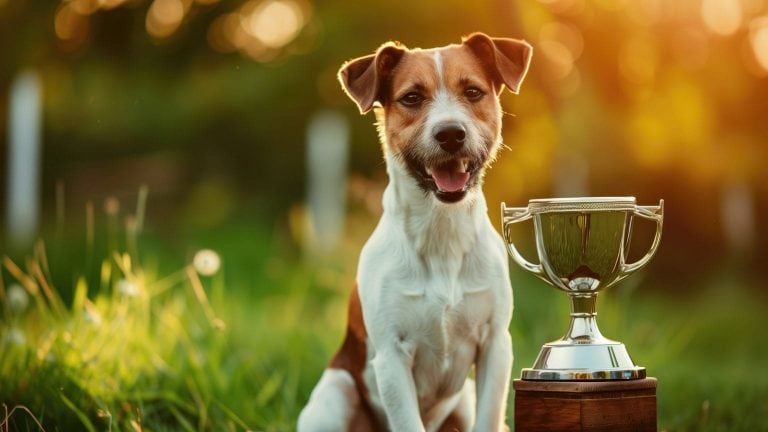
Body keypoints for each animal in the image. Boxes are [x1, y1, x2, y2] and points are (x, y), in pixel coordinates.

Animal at [296, 33, 532, 432]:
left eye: (473, 92)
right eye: (411, 97)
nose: (450, 133)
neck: (442, 233)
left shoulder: (495, 346)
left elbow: (489, 416)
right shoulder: (392, 359)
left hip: (464, 398)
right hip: (337, 391)